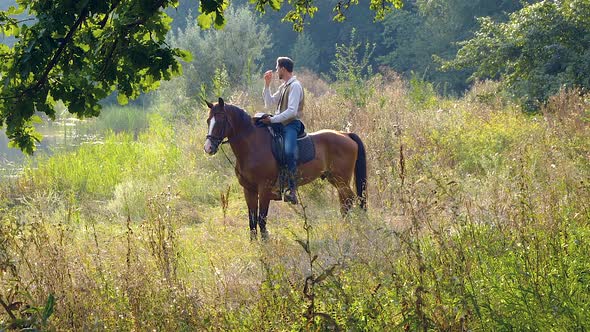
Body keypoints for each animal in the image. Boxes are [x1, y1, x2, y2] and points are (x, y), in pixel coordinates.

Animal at [206, 97, 368, 240]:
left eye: (221, 120)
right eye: (208, 121)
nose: (208, 148)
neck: (253, 146)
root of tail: (346, 134)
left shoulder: (264, 189)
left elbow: (262, 219)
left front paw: (265, 245)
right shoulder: (249, 189)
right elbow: (252, 220)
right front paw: (254, 244)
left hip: (341, 180)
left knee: (350, 200)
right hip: (335, 179)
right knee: (346, 201)